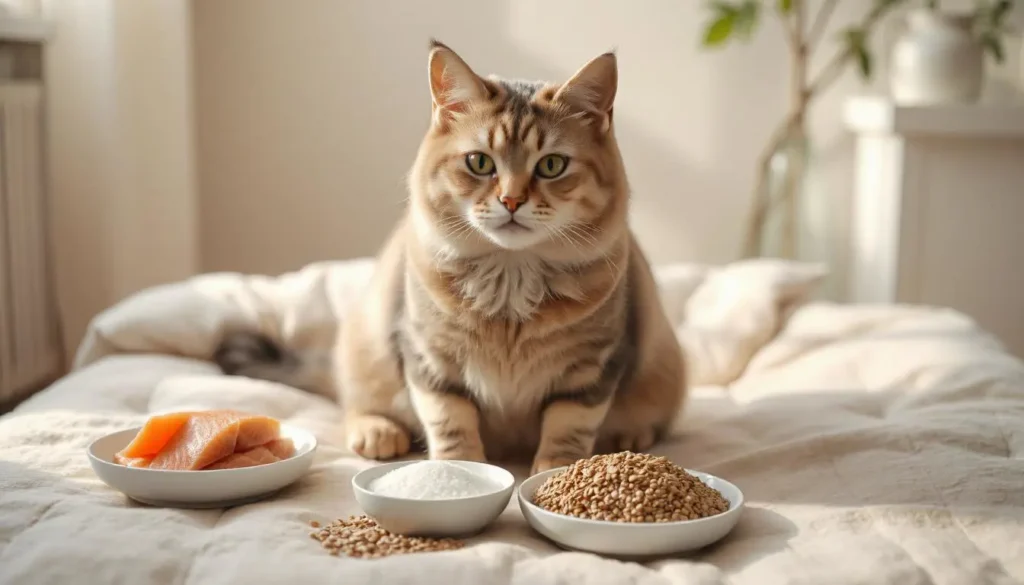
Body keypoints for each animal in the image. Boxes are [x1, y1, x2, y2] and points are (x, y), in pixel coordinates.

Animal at [220, 39, 692, 475]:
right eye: (480, 162)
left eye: (552, 165)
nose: (512, 200)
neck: (510, 285)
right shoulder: (429, 358)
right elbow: (450, 421)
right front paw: (459, 469)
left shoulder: (594, 366)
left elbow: (568, 427)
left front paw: (554, 473)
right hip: (364, 349)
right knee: (354, 403)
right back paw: (377, 432)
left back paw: (630, 435)